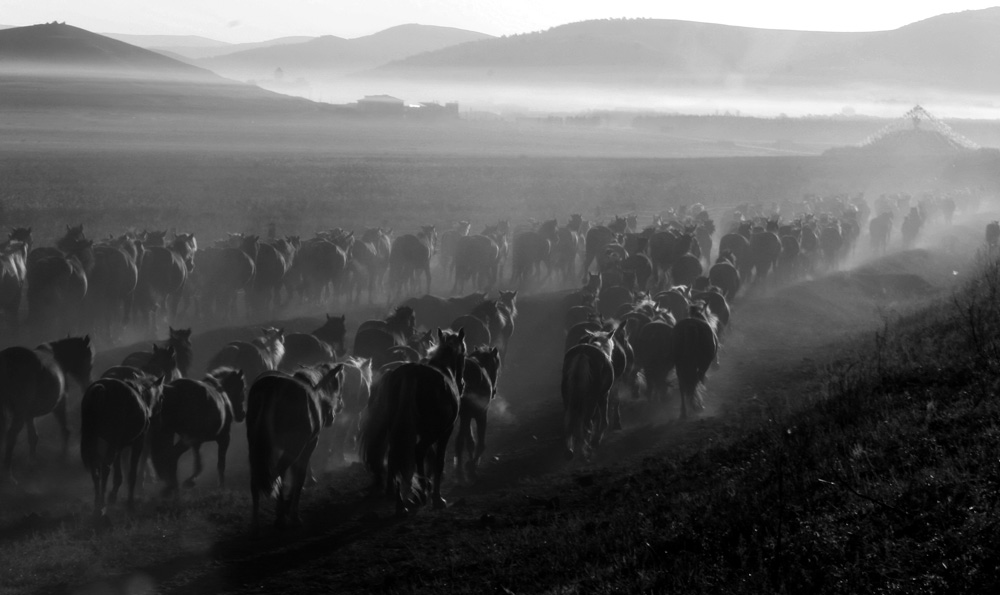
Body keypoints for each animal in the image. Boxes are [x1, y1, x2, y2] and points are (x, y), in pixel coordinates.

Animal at [80, 374, 164, 516]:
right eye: (162, 397)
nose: (158, 421)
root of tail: (102, 389)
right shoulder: (138, 442)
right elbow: (131, 473)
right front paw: (130, 504)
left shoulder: (118, 446)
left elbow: (118, 474)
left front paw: (113, 496)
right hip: (113, 443)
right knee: (105, 467)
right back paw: (101, 506)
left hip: (96, 441)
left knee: (95, 468)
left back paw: (97, 503)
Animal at [246, 364, 344, 536]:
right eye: (336, 384)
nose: (333, 415)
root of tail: (270, 387)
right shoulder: (308, 443)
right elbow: (298, 477)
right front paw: (293, 514)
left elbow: (290, 475)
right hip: (294, 445)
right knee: (276, 474)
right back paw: (281, 517)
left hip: (255, 447)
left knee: (258, 479)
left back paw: (256, 525)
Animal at [360, 328, 468, 516]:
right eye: (463, 355)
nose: (461, 385)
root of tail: (410, 373)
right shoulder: (445, 431)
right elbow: (438, 461)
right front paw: (436, 497)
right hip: (431, 432)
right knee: (418, 450)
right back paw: (422, 494)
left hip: (396, 429)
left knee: (394, 456)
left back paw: (400, 502)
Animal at [454, 346, 500, 482]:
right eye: (496, 366)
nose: (494, 392)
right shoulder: (480, 414)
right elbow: (478, 443)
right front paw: (471, 466)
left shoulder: (465, 416)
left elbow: (465, 440)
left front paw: (466, 467)